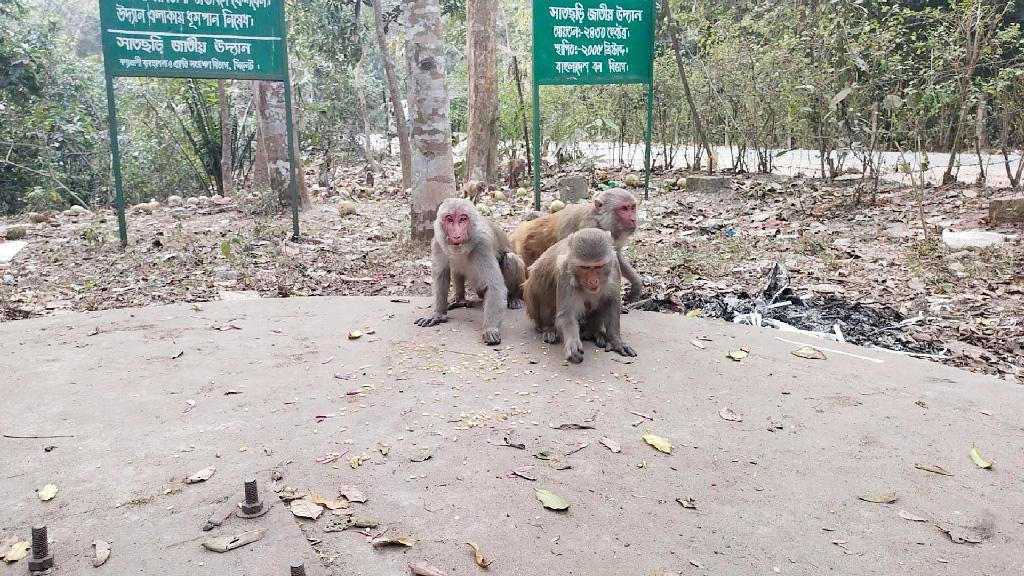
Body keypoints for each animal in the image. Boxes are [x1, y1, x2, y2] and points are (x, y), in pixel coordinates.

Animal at [415, 196, 528, 342]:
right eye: (449, 219)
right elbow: (442, 276)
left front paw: (490, 328)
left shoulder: (483, 244)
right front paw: (438, 314)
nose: (456, 235)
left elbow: (495, 286)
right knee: (456, 267)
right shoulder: (438, 243)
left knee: (511, 259)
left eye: (463, 219)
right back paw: (460, 299)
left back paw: (513, 298)